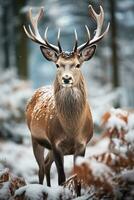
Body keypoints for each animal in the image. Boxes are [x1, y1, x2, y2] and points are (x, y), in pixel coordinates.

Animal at [23, 4, 109, 187]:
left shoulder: (82, 145)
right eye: (57, 64)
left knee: (46, 165)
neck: (72, 130)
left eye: (77, 64)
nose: (66, 78)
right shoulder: (55, 143)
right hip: (35, 138)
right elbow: (62, 179)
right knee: (41, 168)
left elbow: (78, 180)